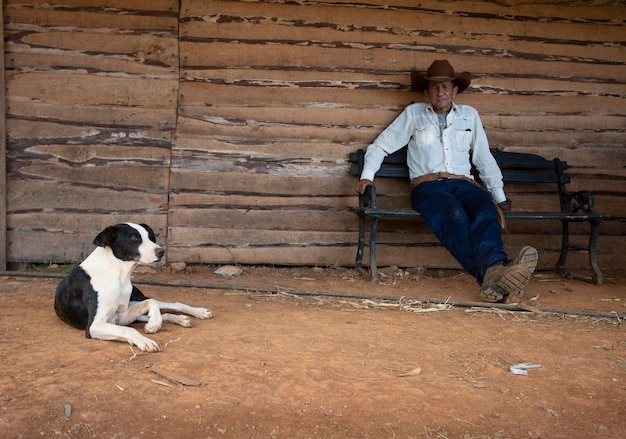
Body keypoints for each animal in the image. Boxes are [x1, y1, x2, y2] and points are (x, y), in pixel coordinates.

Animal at [54, 222, 210, 352]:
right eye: (134, 238)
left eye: (150, 237)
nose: (161, 252)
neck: (118, 274)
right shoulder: (95, 325)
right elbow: (128, 330)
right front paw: (146, 340)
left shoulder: (121, 316)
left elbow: (152, 302)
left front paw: (154, 324)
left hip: (136, 298)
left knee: (169, 304)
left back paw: (197, 313)